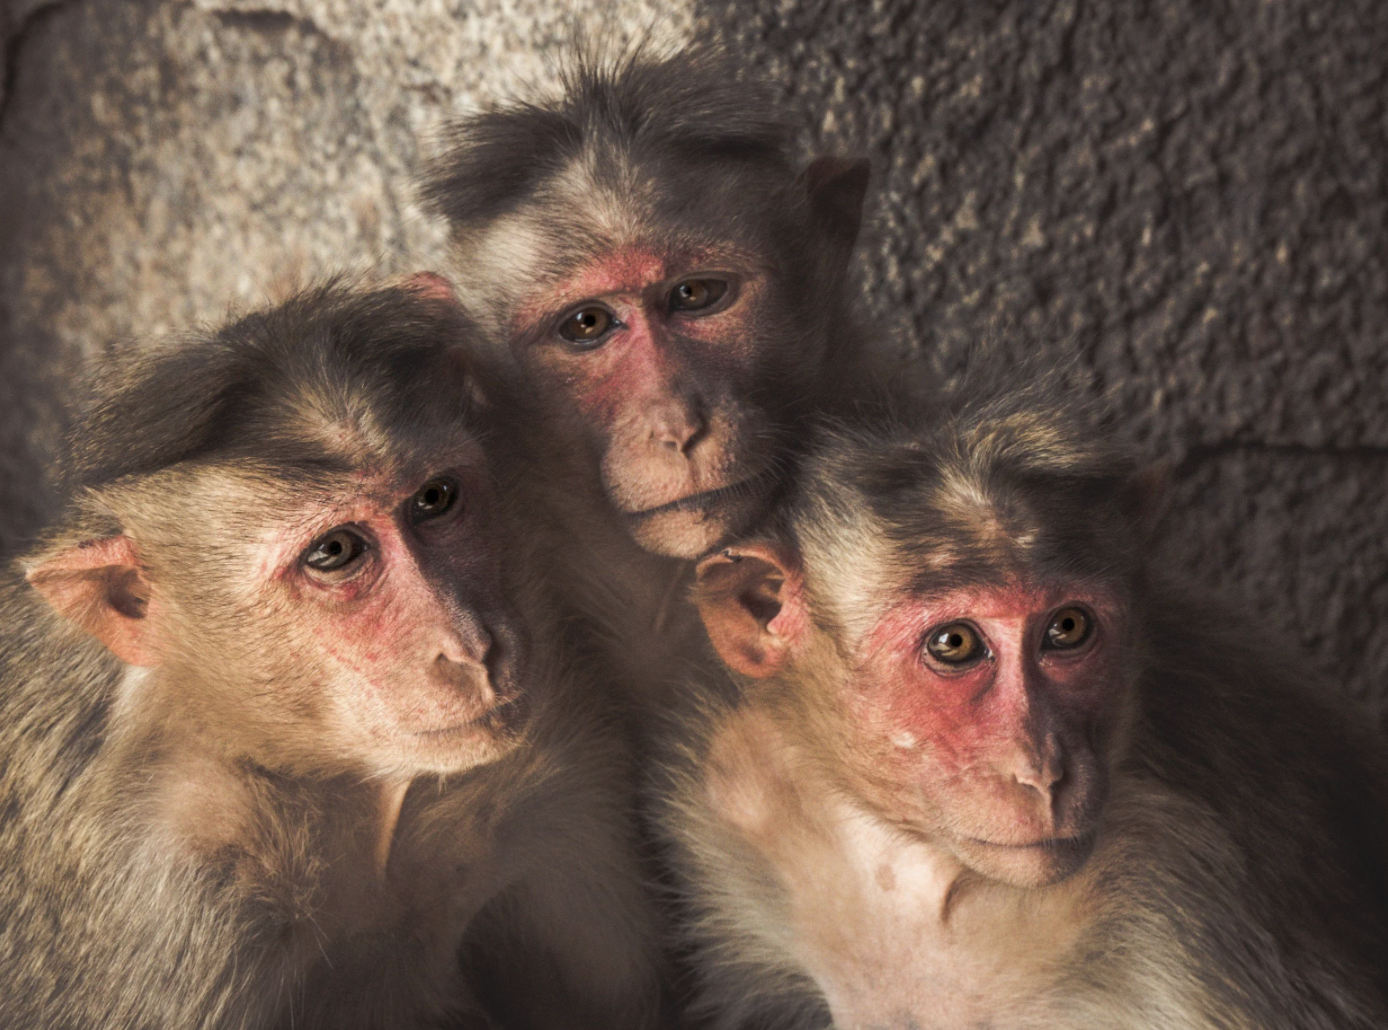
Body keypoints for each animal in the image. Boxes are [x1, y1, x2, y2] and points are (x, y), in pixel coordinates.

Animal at [659, 374, 1388, 1030]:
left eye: (1067, 628)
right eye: (954, 643)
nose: (1043, 772)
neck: (925, 863)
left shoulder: (1181, 893)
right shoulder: (739, 787)